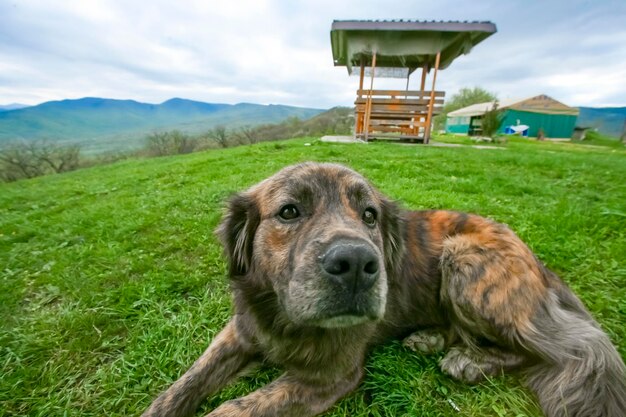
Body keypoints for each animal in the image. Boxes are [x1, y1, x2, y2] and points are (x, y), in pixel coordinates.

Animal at [143, 162, 624, 416]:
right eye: (289, 211)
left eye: (369, 215)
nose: (357, 264)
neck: (282, 315)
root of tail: (537, 260)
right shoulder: (239, 332)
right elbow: (185, 382)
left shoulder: (329, 375)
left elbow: (232, 409)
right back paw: (431, 338)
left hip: (464, 260)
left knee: (551, 351)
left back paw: (471, 361)